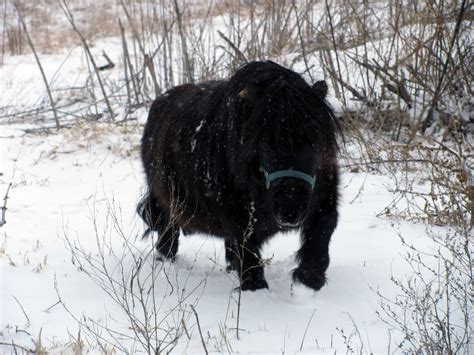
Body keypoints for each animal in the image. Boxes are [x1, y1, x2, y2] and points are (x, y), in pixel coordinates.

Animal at [139, 61, 338, 292]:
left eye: (314, 142)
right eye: (266, 143)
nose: (291, 210)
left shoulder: (324, 194)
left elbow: (323, 229)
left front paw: (309, 280)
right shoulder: (238, 216)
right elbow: (247, 250)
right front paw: (255, 288)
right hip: (164, 201)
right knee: (167, 232)